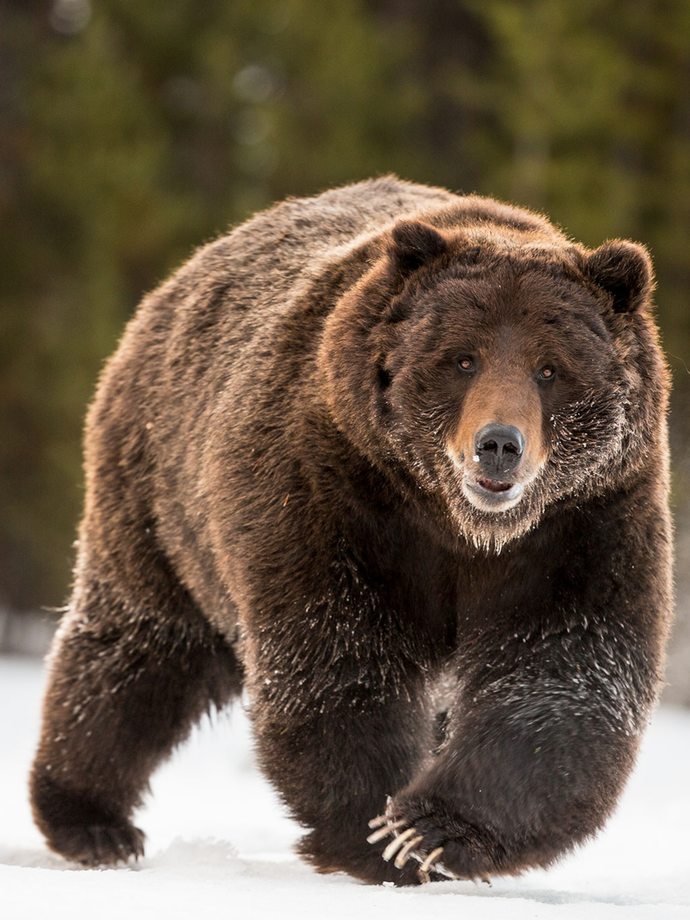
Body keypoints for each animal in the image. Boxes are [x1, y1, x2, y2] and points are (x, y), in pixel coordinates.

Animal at [30, 176, 673, 885]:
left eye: (550, 368)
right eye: (463, 359)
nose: (500, 445)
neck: (461, 527)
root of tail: (182, 276)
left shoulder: (583, 522)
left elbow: (561, 671)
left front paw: (429, 831)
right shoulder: (333, 488)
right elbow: (338, 652)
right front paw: (374, 830)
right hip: (160, 496)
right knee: (137, 650)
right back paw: (92, 820)